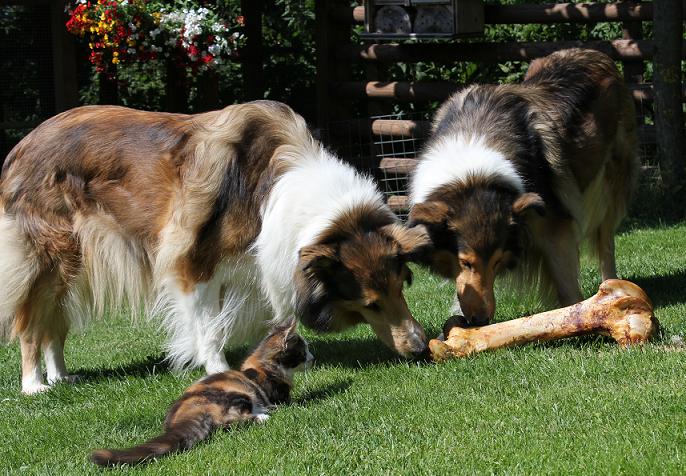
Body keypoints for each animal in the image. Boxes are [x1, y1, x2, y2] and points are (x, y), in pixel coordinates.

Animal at [0, 100, 430, 394]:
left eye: (401, 288)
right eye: (371, 303)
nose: (421, 348)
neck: (270, 188)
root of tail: (23, 143)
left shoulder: (252, 268)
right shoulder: (193, 264)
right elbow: (208, 327)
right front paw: (217, 367)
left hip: (73, 264)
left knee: (52, 323)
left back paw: (61, 375)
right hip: (49, 257)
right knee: (29, 323)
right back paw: (34, 384)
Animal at [91, 322, 314, 466]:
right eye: (303, 351)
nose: (312, 357)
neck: (263, 365)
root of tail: (184, 412)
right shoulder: (279, 394)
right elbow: (294, 400)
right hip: (237, 396)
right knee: (227, 424)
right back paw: (262, 416)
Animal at [408, 50, 640, 326]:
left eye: (498, 261)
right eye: (466, 262)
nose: (480, 320)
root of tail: (596, 54)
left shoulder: (554, 226)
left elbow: (567, 286)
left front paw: (577, 318)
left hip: (608, 185)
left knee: (606, 244)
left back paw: (611, 286)